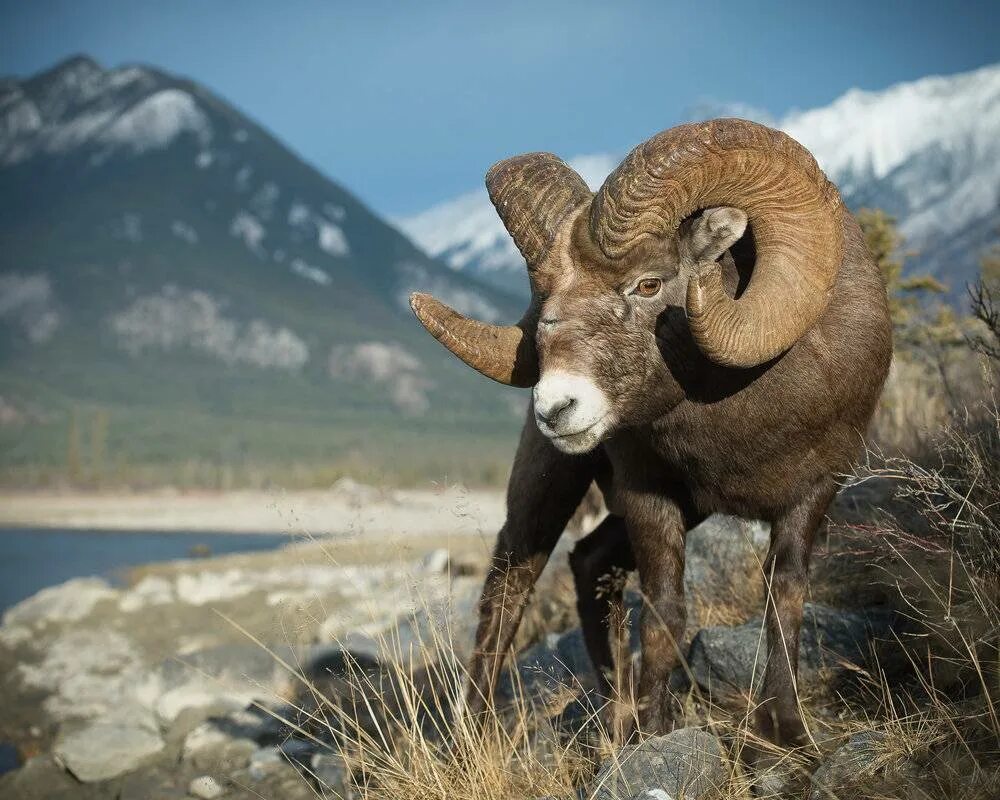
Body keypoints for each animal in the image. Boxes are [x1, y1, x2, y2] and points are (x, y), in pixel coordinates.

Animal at [410, 119, 896, 752]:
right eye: (544, 297)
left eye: (648, 284)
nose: (556, 407)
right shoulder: (650, 496)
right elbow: (665, 614)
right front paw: (656, 733)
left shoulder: (812, 494)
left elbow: (785, 596)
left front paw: (785, 733)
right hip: (550, 484)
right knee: (510, 584)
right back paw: (479, 731)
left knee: (591, 564)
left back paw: (615, 713)